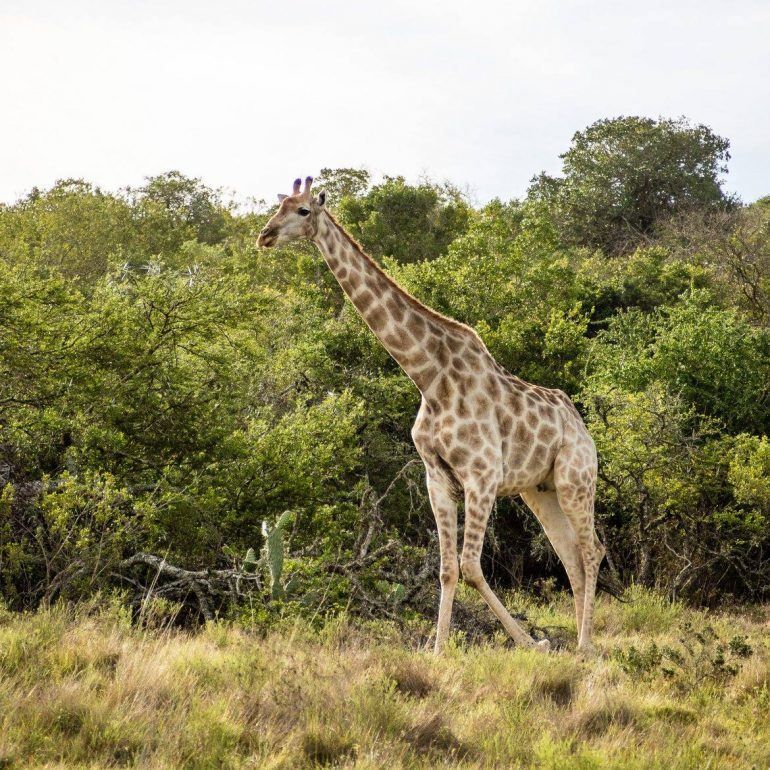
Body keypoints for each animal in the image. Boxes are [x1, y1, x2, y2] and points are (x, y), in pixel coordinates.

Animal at [260, 177, 608, 652]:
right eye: (278, 206)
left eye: (303, 211)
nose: (264, 236)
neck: (429, 376)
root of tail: (583, 427)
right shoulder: (437, 477)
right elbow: (446, 569)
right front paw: (439, 649)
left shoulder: (482, 475)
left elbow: (471, 567)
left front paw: (530, 642)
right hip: (540, 489)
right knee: (570, 554)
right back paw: (578, 642)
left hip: (577, 479)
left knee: (592, 551)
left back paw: (585, 645)